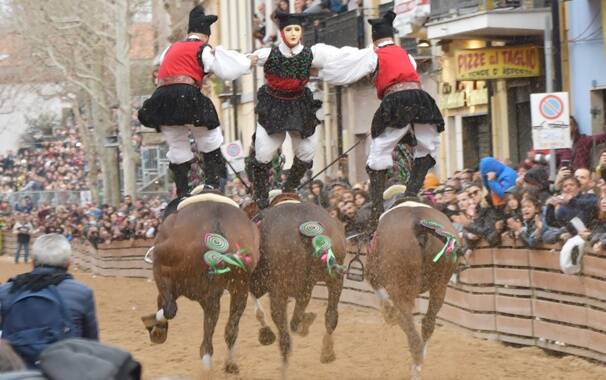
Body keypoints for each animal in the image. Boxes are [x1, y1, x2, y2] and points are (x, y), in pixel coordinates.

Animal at [142, 190, 262, 374]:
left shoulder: (169, 278)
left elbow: (167, 306)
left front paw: (156, 328)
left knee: (172, 308)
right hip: (239, 287)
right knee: (230, 328)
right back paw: (227, 362)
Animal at [243, 194, 346, 378]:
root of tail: (311, 228)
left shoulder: (257, 284)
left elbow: (260, 311)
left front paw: (266, 334)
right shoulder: (305, 287)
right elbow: (298, 316)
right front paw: (307, 320)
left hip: (278, 291)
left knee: (284, 336)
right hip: (335, 280)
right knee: (331, 316)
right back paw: (327, 352)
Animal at [366, 200, 460, 378]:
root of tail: (419, 225)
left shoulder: (373, 274)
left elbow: (386, 302)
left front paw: (389, 313)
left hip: (401, 287)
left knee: (411, 331)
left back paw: (415, 367)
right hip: (440, 285)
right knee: (427, 323)